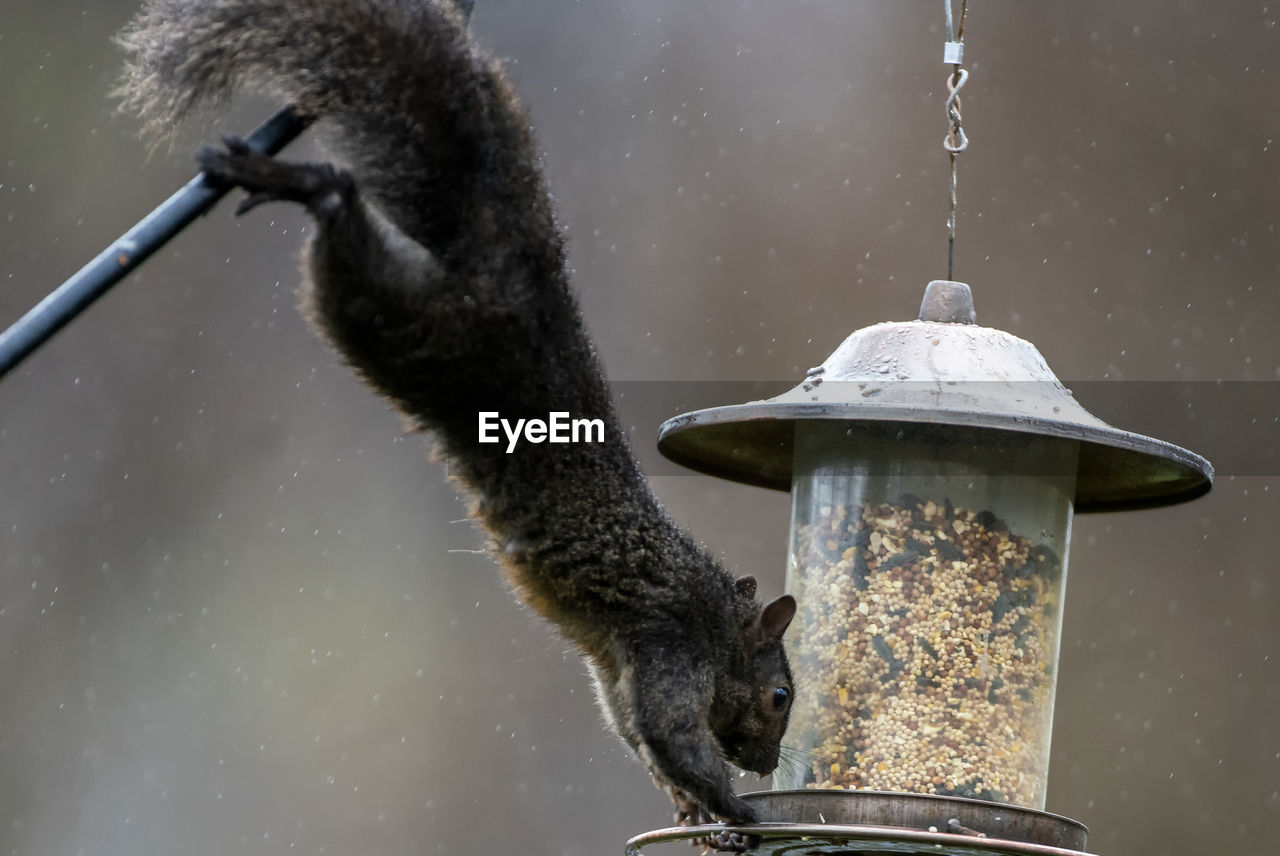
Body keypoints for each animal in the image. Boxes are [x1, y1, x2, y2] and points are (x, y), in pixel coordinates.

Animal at [120, 0, 793, 839]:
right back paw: (290, 179)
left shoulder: (614, 667)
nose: (767, 765)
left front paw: (698, 814)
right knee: (341, 210)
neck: (716, 614)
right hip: (408, 316)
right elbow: (672, 734)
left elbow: (641, 741)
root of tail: (513, 266)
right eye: (780, 696)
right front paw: (737, 809)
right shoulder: (672, 639)